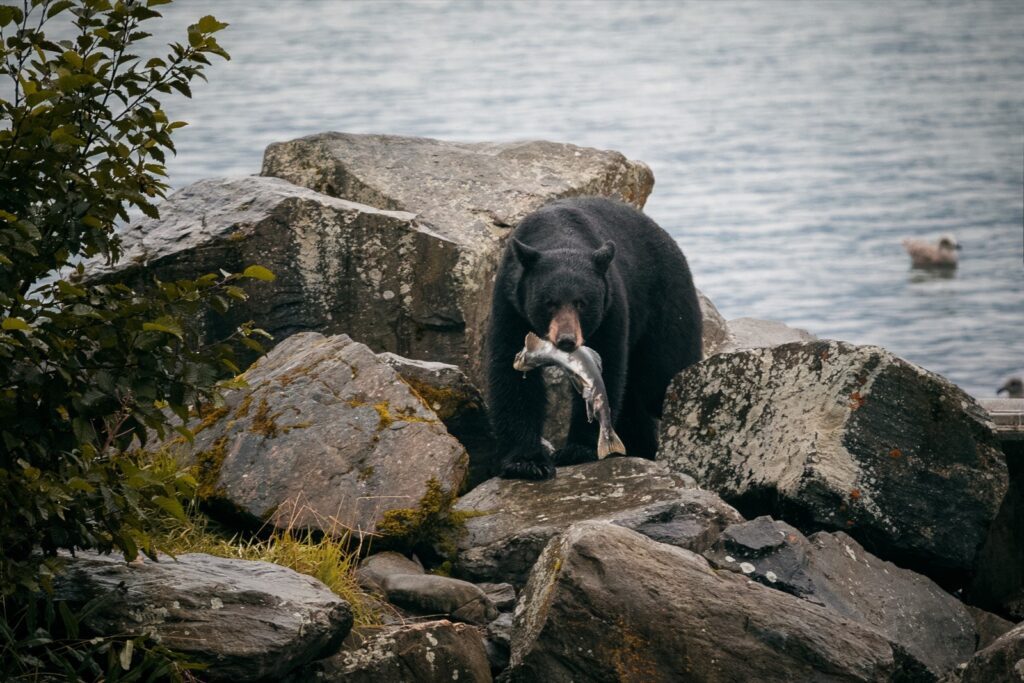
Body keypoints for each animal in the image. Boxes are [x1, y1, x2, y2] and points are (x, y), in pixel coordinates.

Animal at [487, 194, 704, 479]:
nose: (567, 340)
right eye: (549, 303)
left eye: (581, 303)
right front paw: (526, 462)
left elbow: (608, 367)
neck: (560, 236)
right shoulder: (510, 304)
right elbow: (510, 376)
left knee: (661, 376)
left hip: (667, 308)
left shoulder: (611, 307)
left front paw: (578, 450)